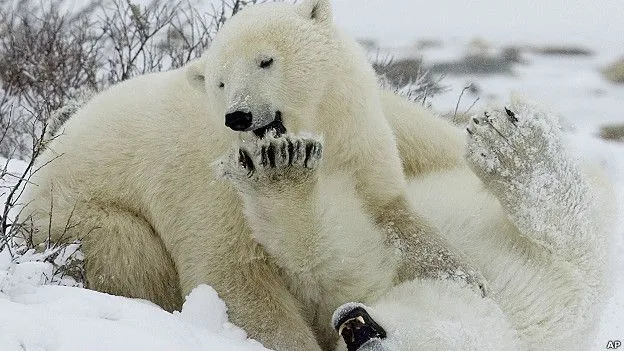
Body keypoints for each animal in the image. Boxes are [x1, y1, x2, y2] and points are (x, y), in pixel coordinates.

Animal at [18, 0, 478, 351]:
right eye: (221, 82)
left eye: (266, 60)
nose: (238, 116)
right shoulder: (210, 183)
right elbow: (230, 269)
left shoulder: (356, 139)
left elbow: (393, 214)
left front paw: (465, 282)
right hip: (76, 216)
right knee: (128, 252)